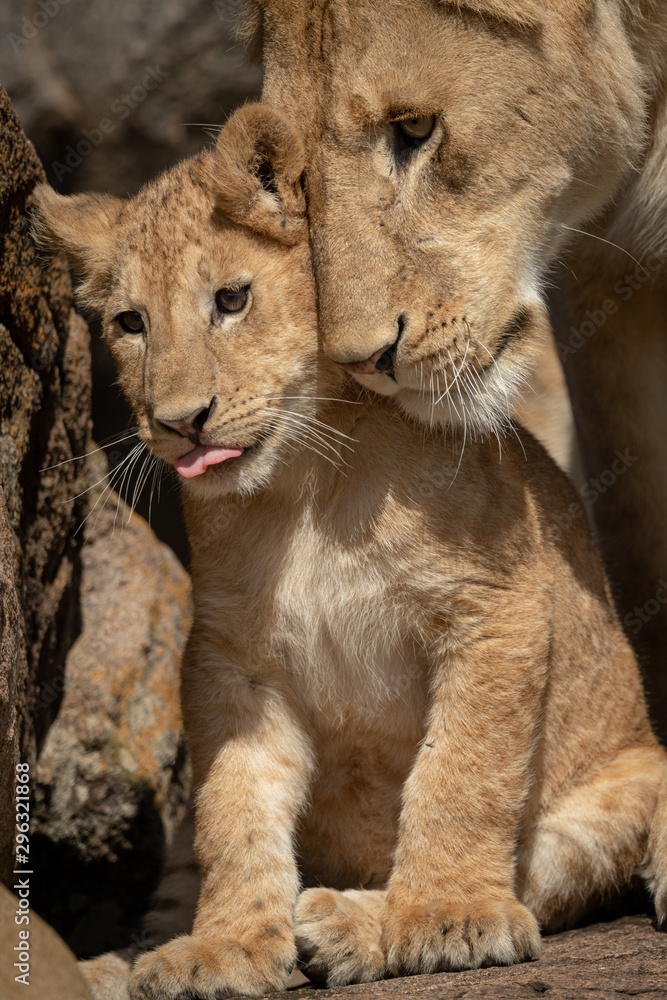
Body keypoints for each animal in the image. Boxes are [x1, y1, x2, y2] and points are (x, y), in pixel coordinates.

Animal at [32, 102, 667, 1000]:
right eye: (130, 323)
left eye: (231, 299)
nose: (179, 422)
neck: (307, 484)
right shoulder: (230, 657)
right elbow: (235, 811)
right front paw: (224, 945)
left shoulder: (493, 606)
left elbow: (459, 773)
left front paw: (442, 919)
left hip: (620, 788)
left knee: (534, 864)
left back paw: (348, 925)